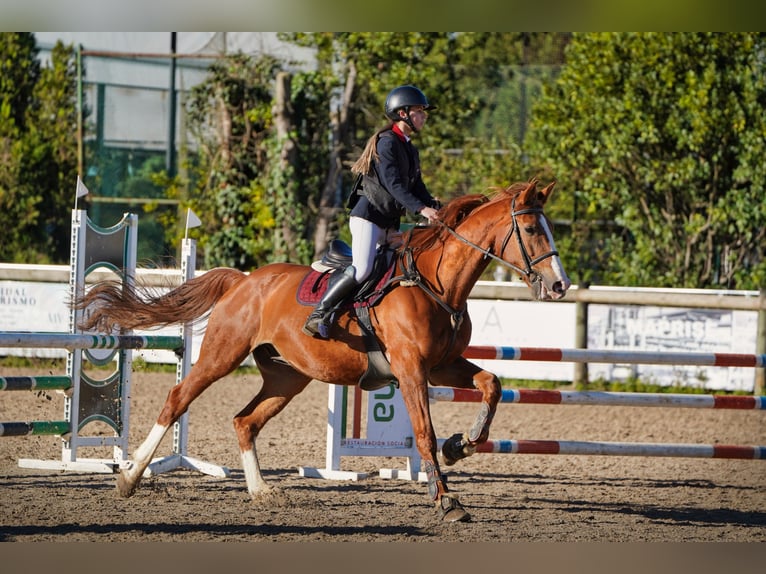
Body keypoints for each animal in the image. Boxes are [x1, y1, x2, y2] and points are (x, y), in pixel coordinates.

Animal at [76, 181, 568, 528]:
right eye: (529, 229)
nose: (559, 285)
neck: (436, 282)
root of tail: (244, 280)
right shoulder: (411, 370)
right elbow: (424, 433)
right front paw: (447, 500)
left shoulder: (442, 366)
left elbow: (492, 385)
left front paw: (461, 444)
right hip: (222, 356)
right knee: (178, 399)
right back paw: (130, 476)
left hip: (287, 377)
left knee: (245, 421)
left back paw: (261, 492)